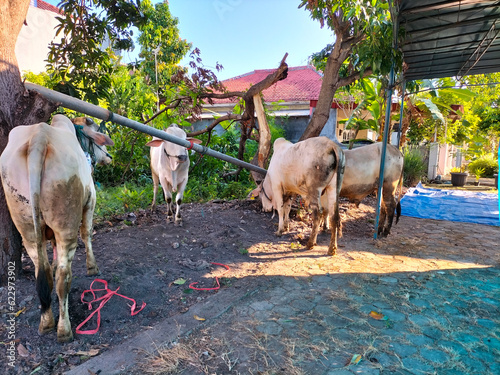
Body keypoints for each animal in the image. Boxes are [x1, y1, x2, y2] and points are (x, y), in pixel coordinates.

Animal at [0, 115, 113, 344]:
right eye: (97, 131)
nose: (109, 156)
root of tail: (39, 137)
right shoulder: (90, 201)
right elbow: (87, 233)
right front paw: (92, 267)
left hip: (27, 227)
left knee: (42, 273)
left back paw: (46, 322)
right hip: (66, 224)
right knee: (63, 278)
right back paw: (64, 329)